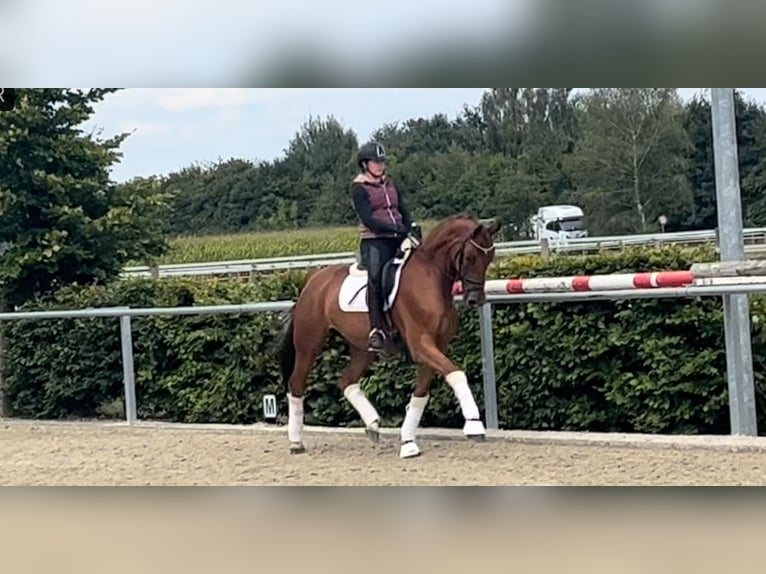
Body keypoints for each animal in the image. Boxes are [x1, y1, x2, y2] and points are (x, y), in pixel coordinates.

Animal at [278, 214, 504, 462]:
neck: (431, 276)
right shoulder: (420, 344)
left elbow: (421, 393)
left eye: (490, 258)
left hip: (362, 349)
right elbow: (456, 374)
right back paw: (296, 442)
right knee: (297, 383)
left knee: (346, 380)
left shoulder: (436, 346)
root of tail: (314, 278)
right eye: (471, 257)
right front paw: (474, 425)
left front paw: (408, 442)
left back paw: (373, 424)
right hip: (309, 342)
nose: (475, 300)